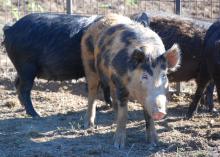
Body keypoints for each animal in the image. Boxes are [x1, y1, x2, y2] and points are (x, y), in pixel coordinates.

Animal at [81, 13, 180, 148]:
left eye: (164, 76)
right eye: (144, 76)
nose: (159, 111)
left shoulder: (144, 97)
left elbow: (148, 115)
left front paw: (154, 142)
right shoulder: (121, 85)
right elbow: (124, 114)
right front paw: (118, 145)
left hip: (111, 79)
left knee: (113, 96)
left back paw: (113, 119)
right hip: (89, 63)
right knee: (92, 93)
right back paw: (88, 126)